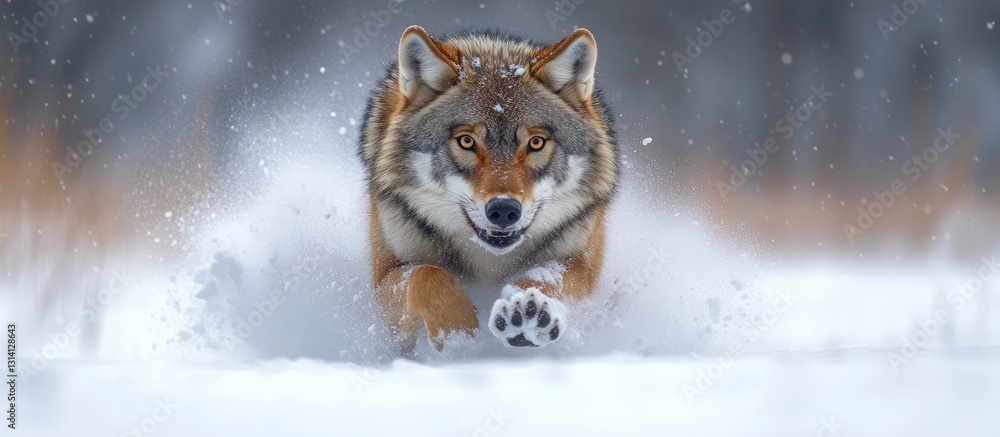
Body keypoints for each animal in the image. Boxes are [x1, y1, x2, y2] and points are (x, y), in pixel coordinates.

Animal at [359, 26, 619, 352]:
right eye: (466, 141)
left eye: (536, 143)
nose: (504, 210)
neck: (489, 261)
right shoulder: (384, 276)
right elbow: (427, 275)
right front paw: (459, 338)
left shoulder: (583, 266)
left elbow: (545, 277)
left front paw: (526, 314)